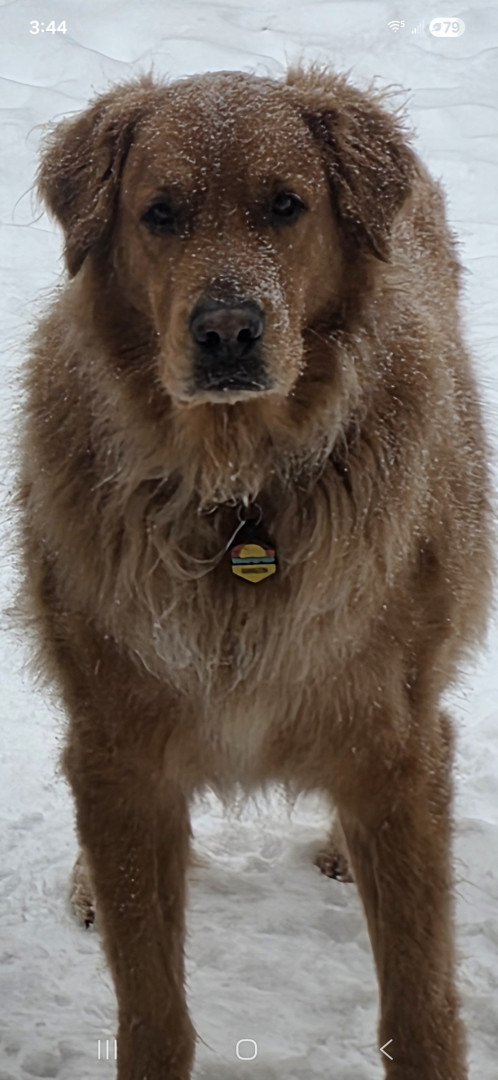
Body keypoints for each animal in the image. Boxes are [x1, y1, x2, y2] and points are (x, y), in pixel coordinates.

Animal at [17, 64, 495, 1079]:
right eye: (160, 213)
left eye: (287, 206)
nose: (229, 330)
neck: (235, 489)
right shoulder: (120, 751)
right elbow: (152, 1004)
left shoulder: (395, 748)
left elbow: (419, 999)